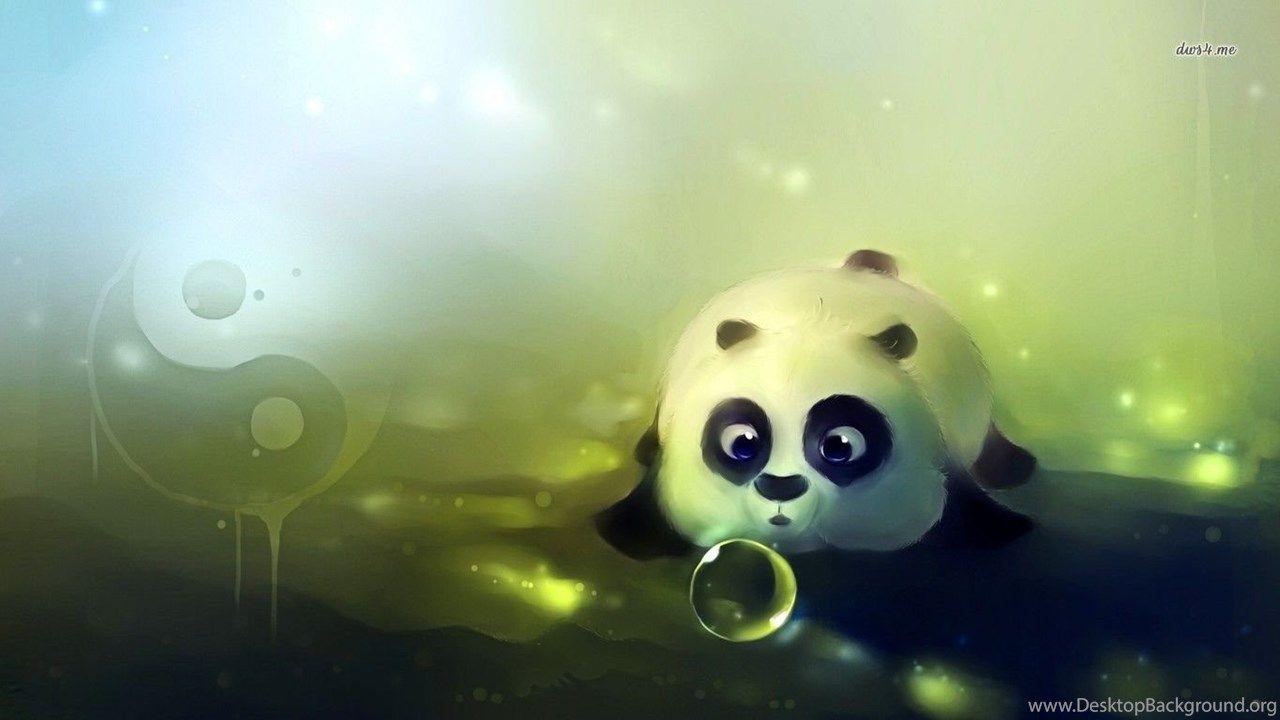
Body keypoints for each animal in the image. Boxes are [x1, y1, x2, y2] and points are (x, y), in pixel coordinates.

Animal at [598, 249, 1036, 559]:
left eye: (839, 445)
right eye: (742, 443)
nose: (781, 486)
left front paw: (1003, 527)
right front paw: (625, 533)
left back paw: (1014, 468)